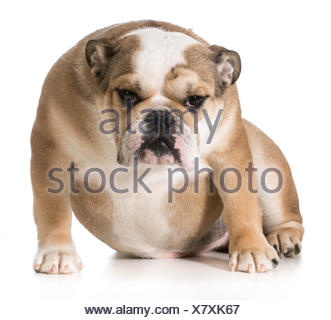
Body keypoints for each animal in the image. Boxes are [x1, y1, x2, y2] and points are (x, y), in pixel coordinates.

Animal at [31, 20, 304, 276]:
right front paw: (57, 252)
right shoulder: (51, 150)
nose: (161, 115)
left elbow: (242, 203)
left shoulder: (229, 150)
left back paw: (282, 238)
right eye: (127, 94)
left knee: (289, 217)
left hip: (266, 163)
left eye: (195, 99)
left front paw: (252, 250)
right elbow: (52, 208)